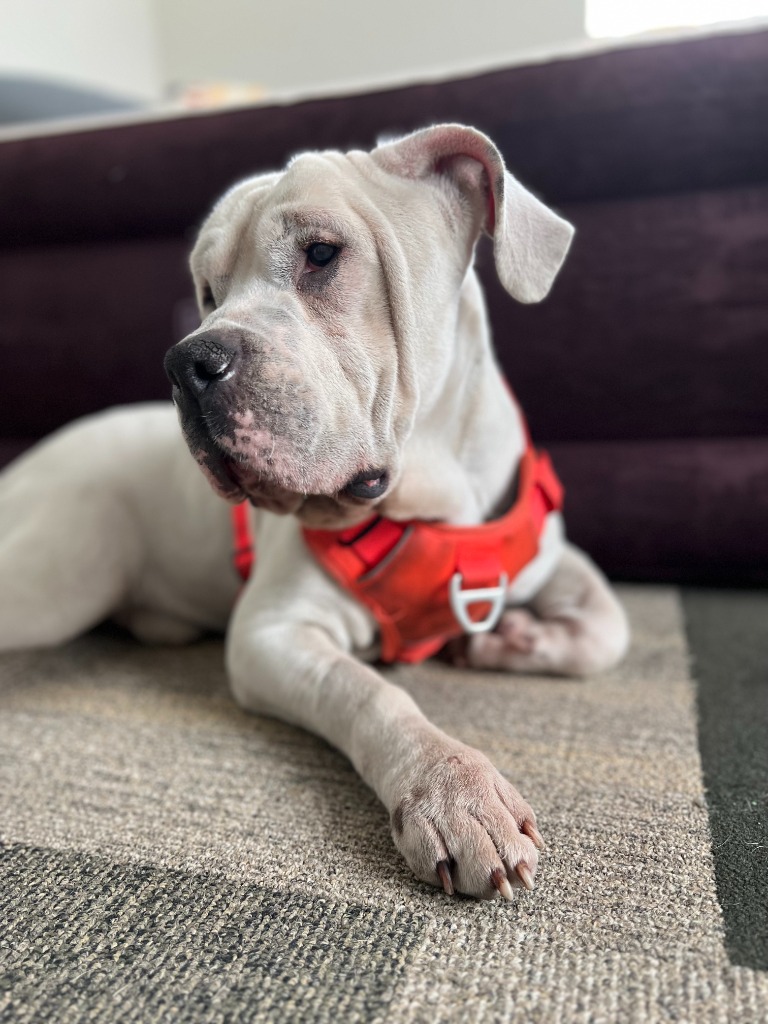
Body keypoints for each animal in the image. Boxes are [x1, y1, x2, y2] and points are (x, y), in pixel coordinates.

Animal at [1, 123, 630, 901]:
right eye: (207, 293)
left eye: (322, 254)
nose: (186, 363)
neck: (435, 498)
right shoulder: (273, 634)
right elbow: (371, 694)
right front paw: (453, 789)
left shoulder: (545, 551)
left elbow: (608, 626)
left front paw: (509, 641)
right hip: (62, 577)